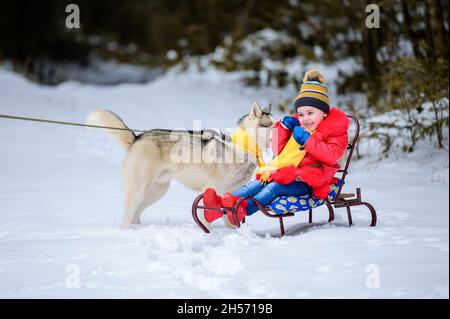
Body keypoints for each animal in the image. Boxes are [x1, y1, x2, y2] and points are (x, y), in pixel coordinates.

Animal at [85, 101, 274, 229]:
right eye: (271, 125)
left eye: (276, 122)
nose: (280, 126)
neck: (243, 148)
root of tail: (137, 137)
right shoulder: (215, 190)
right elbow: (207, 219)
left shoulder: (230, 192)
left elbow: (230, 217)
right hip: (139, 190)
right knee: (127, 217)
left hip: (156, 192)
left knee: (135, 215)